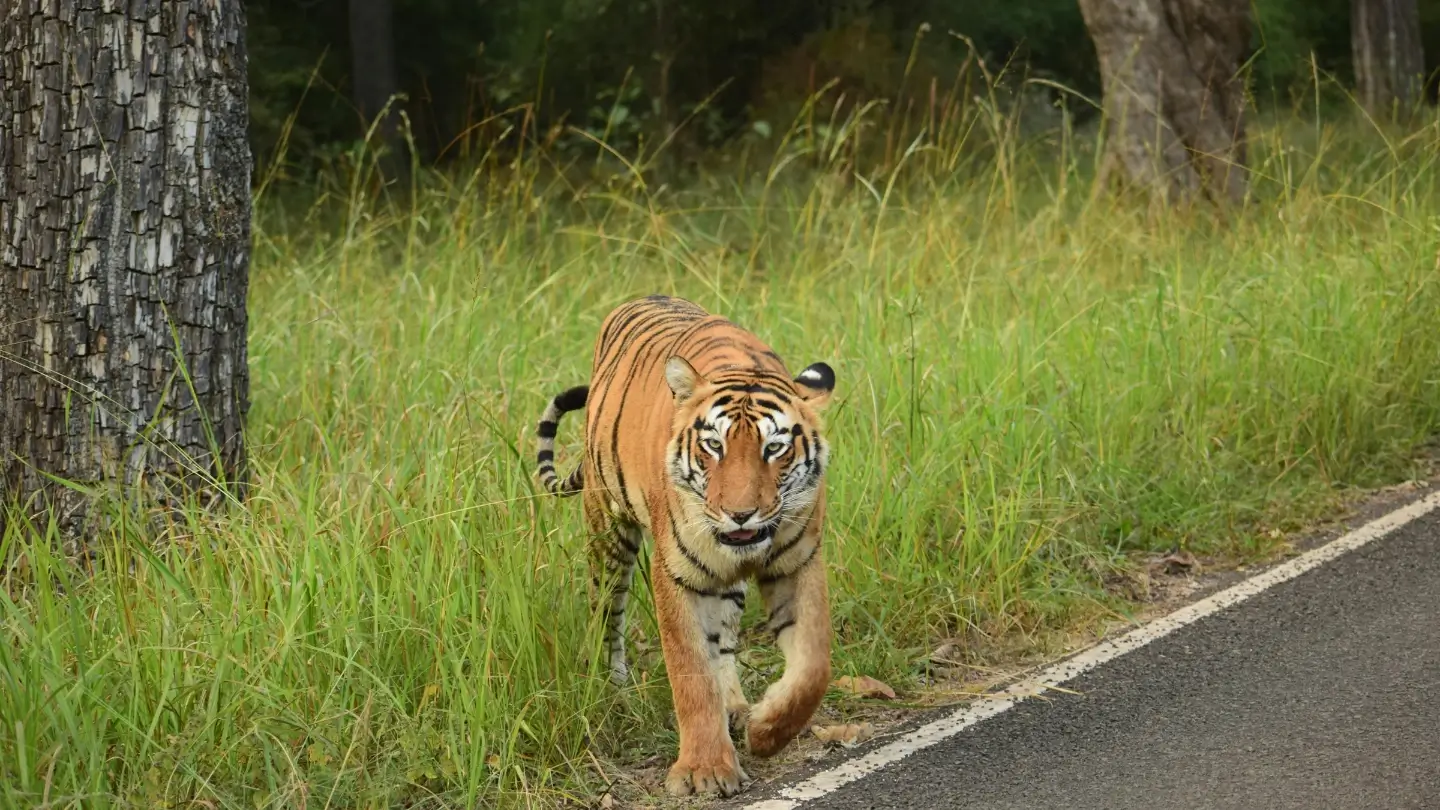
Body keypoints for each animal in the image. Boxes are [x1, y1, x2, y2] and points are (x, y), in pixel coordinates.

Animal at [535, 294, 836, 797]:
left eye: (774, 449)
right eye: (713, 445)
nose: (740, 514)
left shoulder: (797, 560)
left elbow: (812, 667)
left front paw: (766, 731)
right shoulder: (676, 573)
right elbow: (690, 670)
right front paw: (704, 770)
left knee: (724, 641)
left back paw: (735, 707)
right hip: (608, 530)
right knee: (606, 614)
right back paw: (614, 692)